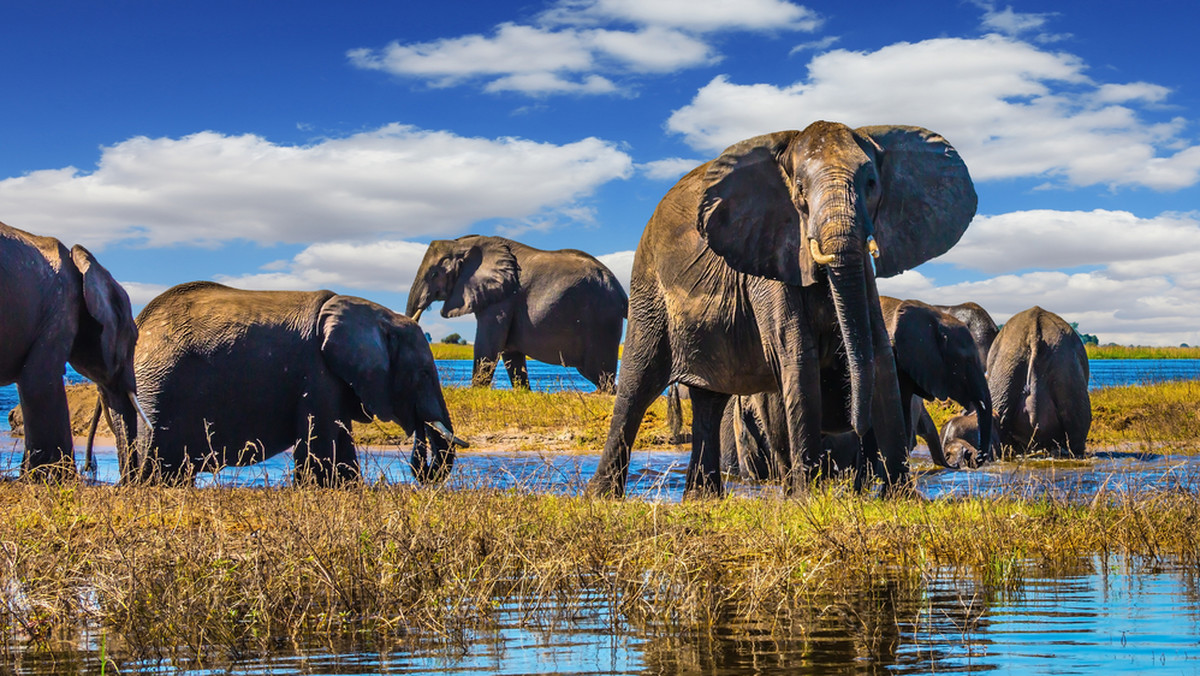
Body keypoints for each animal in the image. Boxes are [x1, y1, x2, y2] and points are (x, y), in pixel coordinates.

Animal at [126, 282, 463, 487]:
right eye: (423, 373)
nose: (424, 467)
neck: (378, 317)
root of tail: (140, 321)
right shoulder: (316, 372)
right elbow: (320, 451)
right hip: (158, 390)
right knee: (159, 468)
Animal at [405, 235, 628, 391]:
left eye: (434, 274)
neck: (463, 244)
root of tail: (620, 290)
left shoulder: (502, 299)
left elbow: (489, 344)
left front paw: (475, 391)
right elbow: (510, 353)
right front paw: (523, 392)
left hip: (601, 321)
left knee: (599, 374)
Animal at [588, 120, 974, 497]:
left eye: (871, 184)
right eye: (800, 190)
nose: (855, 424)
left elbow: (879, 354)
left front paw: (901, 499)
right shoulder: (768, 252)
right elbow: (796, 353)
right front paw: (807, 498)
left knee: (710, 399)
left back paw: (703, 498)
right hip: (648, 287)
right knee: (638, 384)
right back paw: (601, 495)